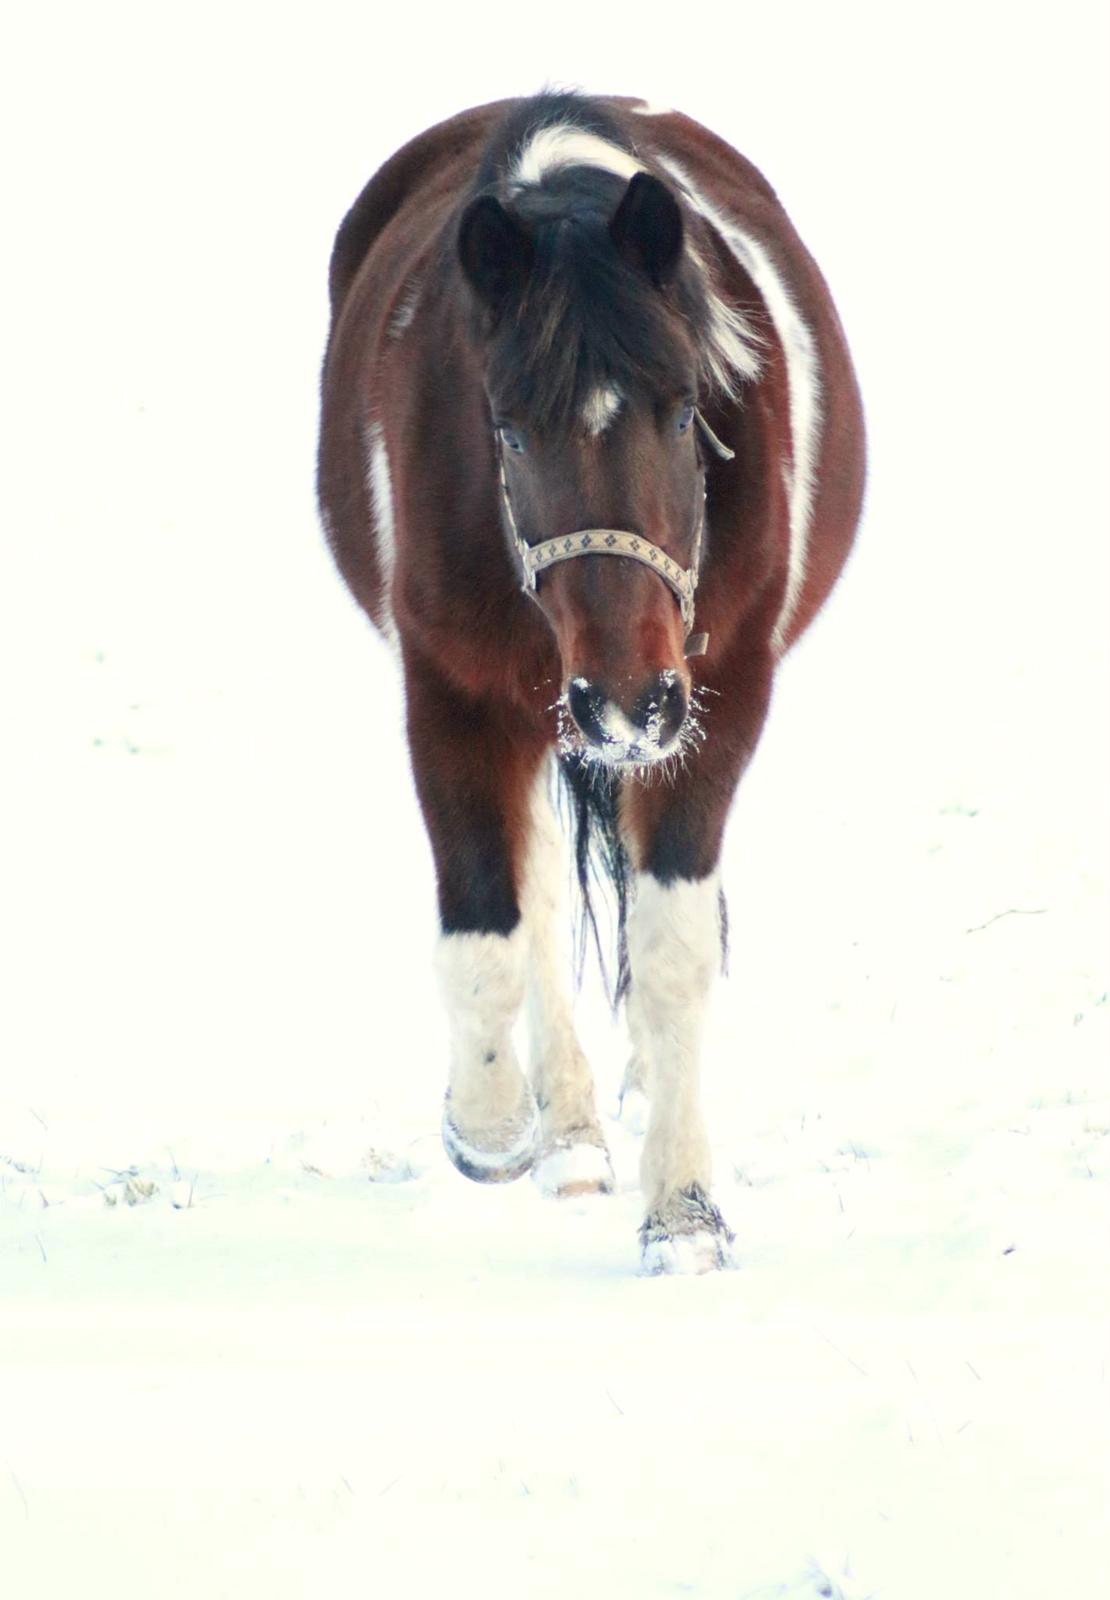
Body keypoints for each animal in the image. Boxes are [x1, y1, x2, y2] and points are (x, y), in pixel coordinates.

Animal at [316, 91, 865, 1274]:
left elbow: (670, 949)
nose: (628, 701)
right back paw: (564, 1135)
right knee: (538, 897)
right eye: (511, 431)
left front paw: (685, 1212)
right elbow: (489, 927)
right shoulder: (452, 693)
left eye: (684, 411)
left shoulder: (720, 698)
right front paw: (491, 1127)